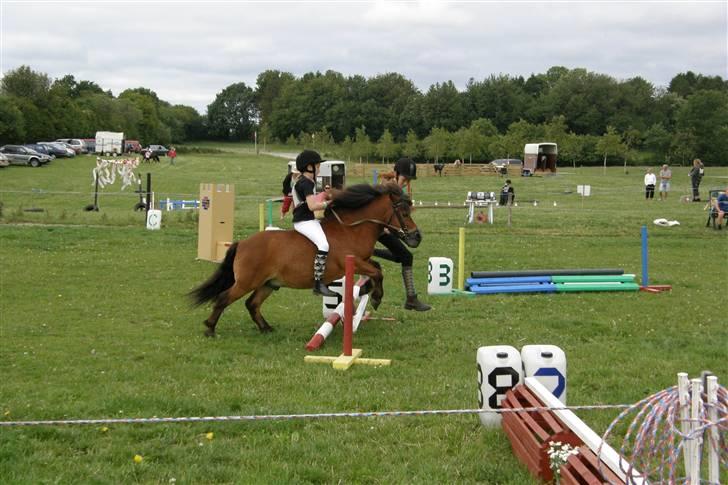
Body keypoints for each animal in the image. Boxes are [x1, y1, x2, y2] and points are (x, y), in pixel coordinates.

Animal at [188, 182, 420, 336]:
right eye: (404, 213)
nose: (417, 237)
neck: (351, 229)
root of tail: (242, 243)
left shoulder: (361, 261)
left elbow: (376, 267)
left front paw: (366, 290)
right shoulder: (352, 261)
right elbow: (377, 272)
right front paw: (376, 296)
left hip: (269, 283)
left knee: (252, 303)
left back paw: (266, 328)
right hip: (247, 282)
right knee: (224, 298)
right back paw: (210, 328)